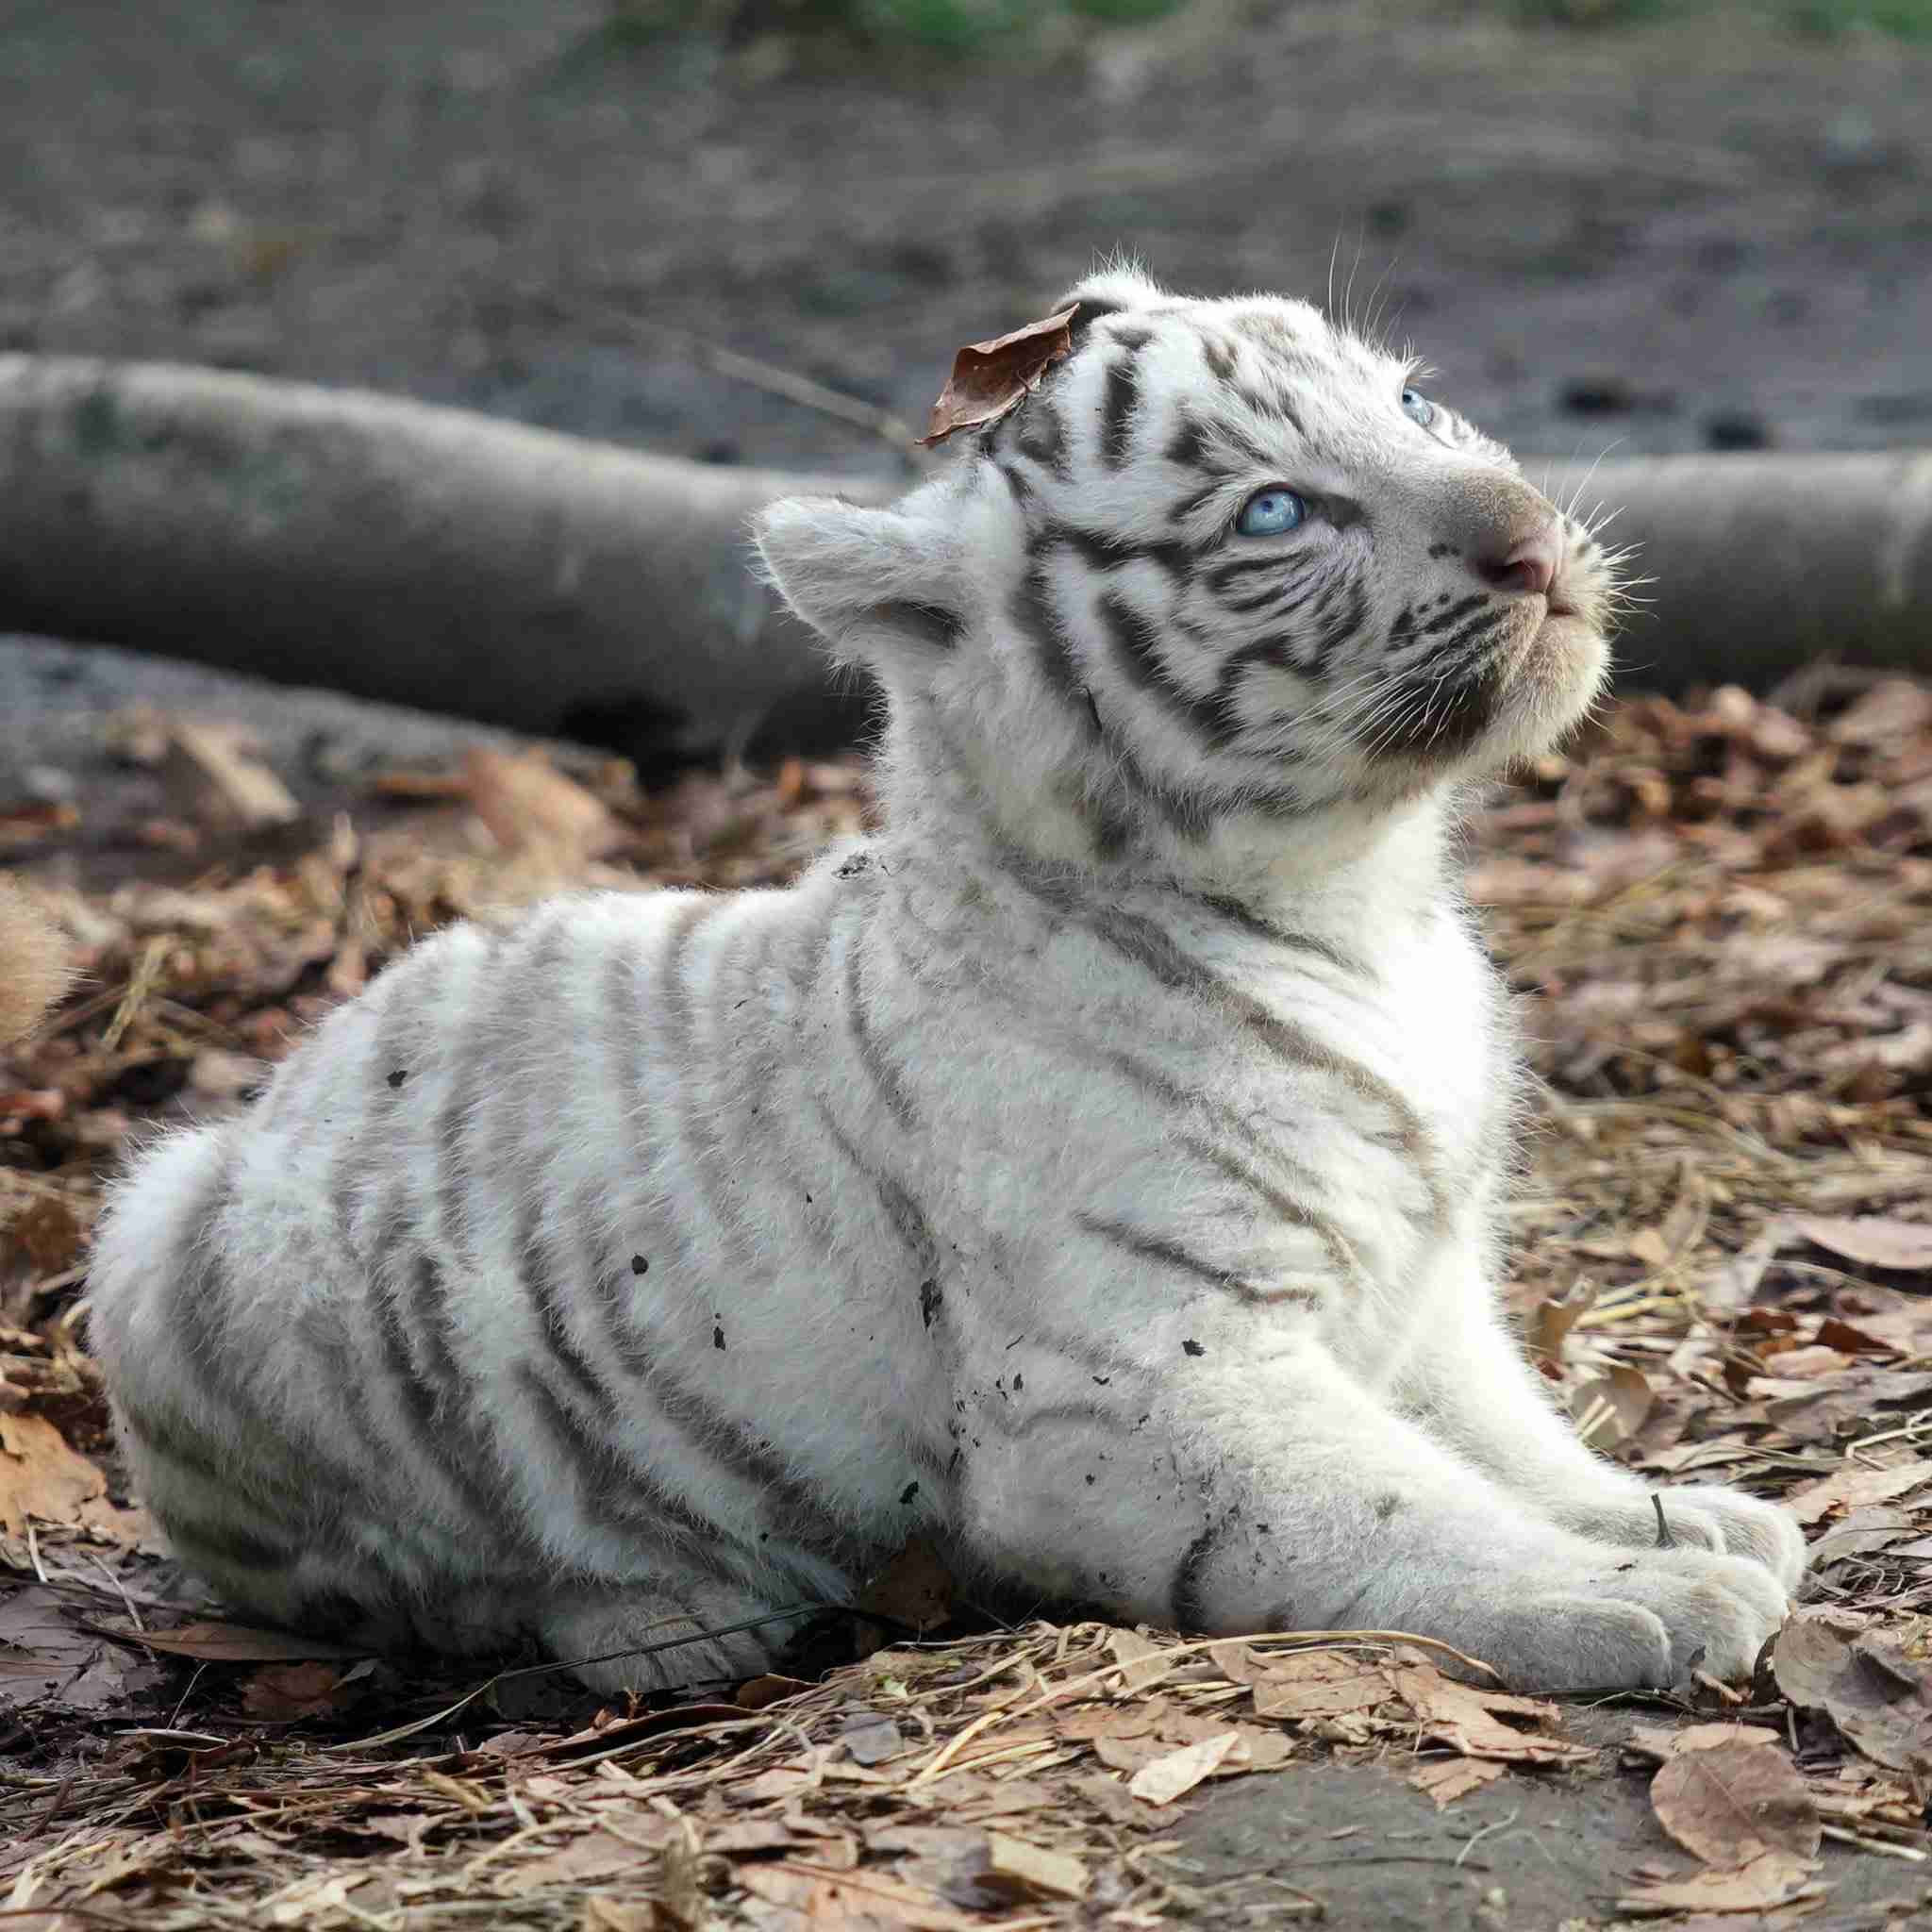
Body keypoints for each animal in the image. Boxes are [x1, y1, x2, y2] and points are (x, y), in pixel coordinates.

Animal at [76, 265, 1805, 1696]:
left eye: (1416, 406)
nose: (1528, 533)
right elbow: (1399, 1500)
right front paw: (1628, 1595)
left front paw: (1680, 1515)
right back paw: (670, 1617)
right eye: (1271, 516)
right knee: (424, 1585)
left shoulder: (1423, 1278)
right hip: (166, 1242)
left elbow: (1502, 1431)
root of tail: (281, 1085)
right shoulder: (1131, 1384)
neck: (1362, 906)